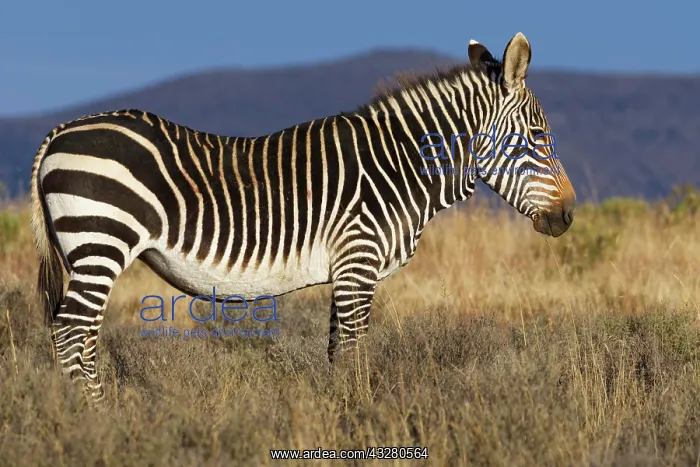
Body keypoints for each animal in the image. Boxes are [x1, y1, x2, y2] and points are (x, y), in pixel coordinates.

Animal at [30, 32, 576, 401]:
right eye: (538, 138)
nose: (568, 215)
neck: (397, 165)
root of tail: (59, 131)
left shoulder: (348, 269)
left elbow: (337, 351)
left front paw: (341, 412)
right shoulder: (358, 260)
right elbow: (354, 351)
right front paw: (361, 417)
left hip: (89, 251)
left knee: (79, 338)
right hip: (101, 241)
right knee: (69, 333)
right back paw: (95, 420)